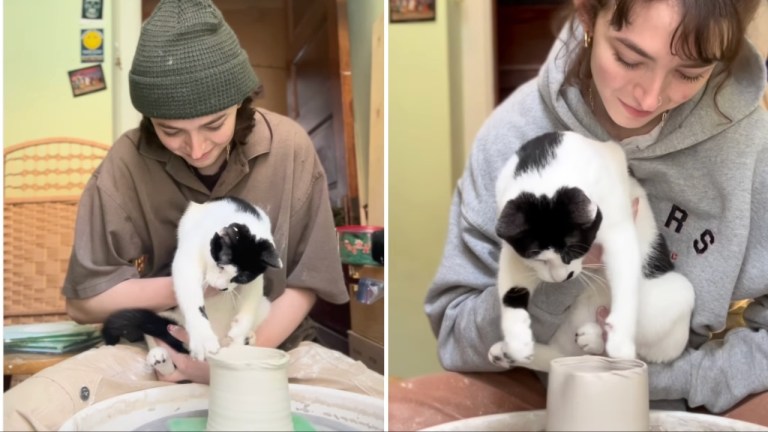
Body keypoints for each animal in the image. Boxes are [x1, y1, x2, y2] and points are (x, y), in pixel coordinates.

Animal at [102, 196, 282, 374]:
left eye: (242, 277)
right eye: (221, 265)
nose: (221, 287)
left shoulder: (255, 280)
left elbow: (251, 298)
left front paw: (239, 333)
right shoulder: (190, 254)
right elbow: (190, 293)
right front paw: (202, 336)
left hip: (264, 306)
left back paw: (247, 339)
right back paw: (159, 356)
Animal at [492, 132, 696, 372]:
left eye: (573, 252)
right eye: (539, 259)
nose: (563, 277)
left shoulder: (619, 229)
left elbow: (625, 284)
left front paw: (620, 341)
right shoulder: (513, 251)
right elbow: (512, 290)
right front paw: (517, 341)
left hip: (675, 297)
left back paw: (600, 339)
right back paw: (506, 353)